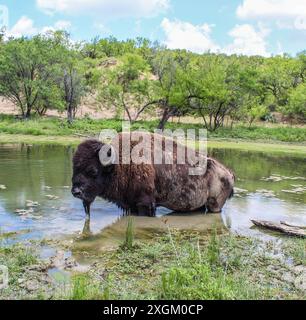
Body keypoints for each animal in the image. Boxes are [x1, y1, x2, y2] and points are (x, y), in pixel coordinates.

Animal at [71, 132, 234, 218]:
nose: (75, 192)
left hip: (215, 205)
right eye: (74, 168)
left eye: (93, 171)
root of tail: (229, 174)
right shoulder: (130, 204)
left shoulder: (145, 203)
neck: (120, 164)